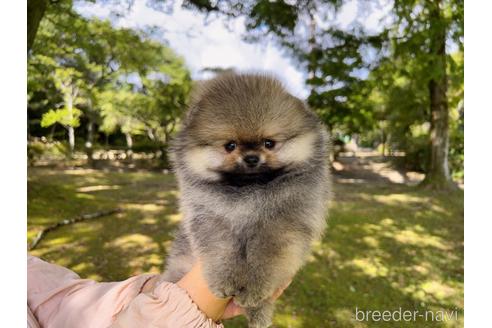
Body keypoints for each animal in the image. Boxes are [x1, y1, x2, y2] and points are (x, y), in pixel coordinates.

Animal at [162, 73, 330, 326]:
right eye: (229, 146)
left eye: (269, 143)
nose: (251, 158)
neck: (248, 193)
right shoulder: (210, 218)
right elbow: (219, 250)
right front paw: (223, 281)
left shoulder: (283, 223)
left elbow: (266, 257)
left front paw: (255, 290)